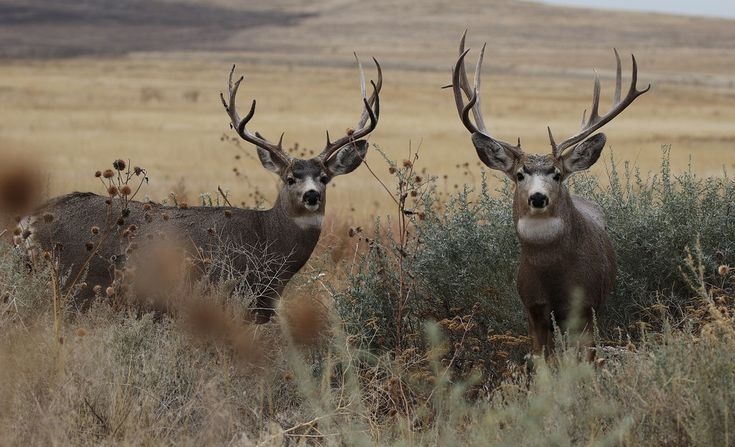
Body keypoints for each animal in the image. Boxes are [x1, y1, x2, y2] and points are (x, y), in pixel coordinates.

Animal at [20, 56, 382, 324]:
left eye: (324, 178)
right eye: (290, 178)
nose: (311, 195)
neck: (269, 241)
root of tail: (28, 222)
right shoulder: (234, 293)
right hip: (74, 282)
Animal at [452, 32, 652, 356]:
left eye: (557, 174)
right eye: (520, 174)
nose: (538, 197)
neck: (552, 276)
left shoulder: (584, 306)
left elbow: (580, 358)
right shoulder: (533, 306)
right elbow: (540, 358)